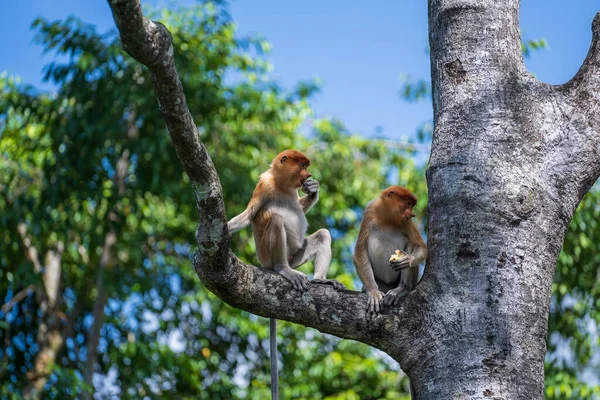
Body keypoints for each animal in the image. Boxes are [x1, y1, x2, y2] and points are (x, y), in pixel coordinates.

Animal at [352, 186, 426, 314]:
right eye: (408, 203)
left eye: (411, 206)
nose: (412, 214)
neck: (388, 218)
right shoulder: (370, 211)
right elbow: (360, 249)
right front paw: (373, 292)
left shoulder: (407, 222)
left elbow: (421, 247)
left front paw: (406, 260)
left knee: (411, 244)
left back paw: (401, 289)